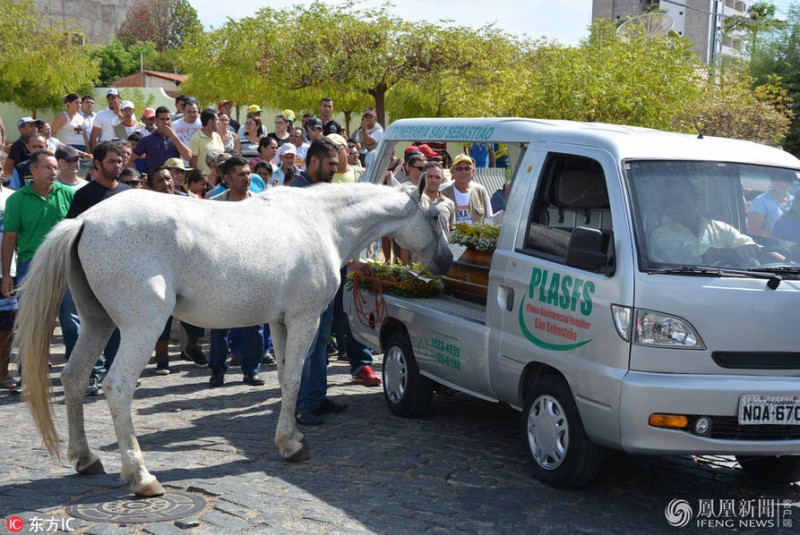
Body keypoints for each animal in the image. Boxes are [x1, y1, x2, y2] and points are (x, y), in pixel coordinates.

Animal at [15, 182, 450, 496]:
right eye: (433, 214)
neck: (320, 223)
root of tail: (85, 221)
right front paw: (291, 446)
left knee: (74, 378)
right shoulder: (304, 319)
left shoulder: (279, 322)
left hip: (97, 323)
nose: (446, 260)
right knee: (117, 387)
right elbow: (295, 378)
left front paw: (291, 436)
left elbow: (283, 379)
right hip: (142, 328)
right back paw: (141, 476)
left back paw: (85, 458)